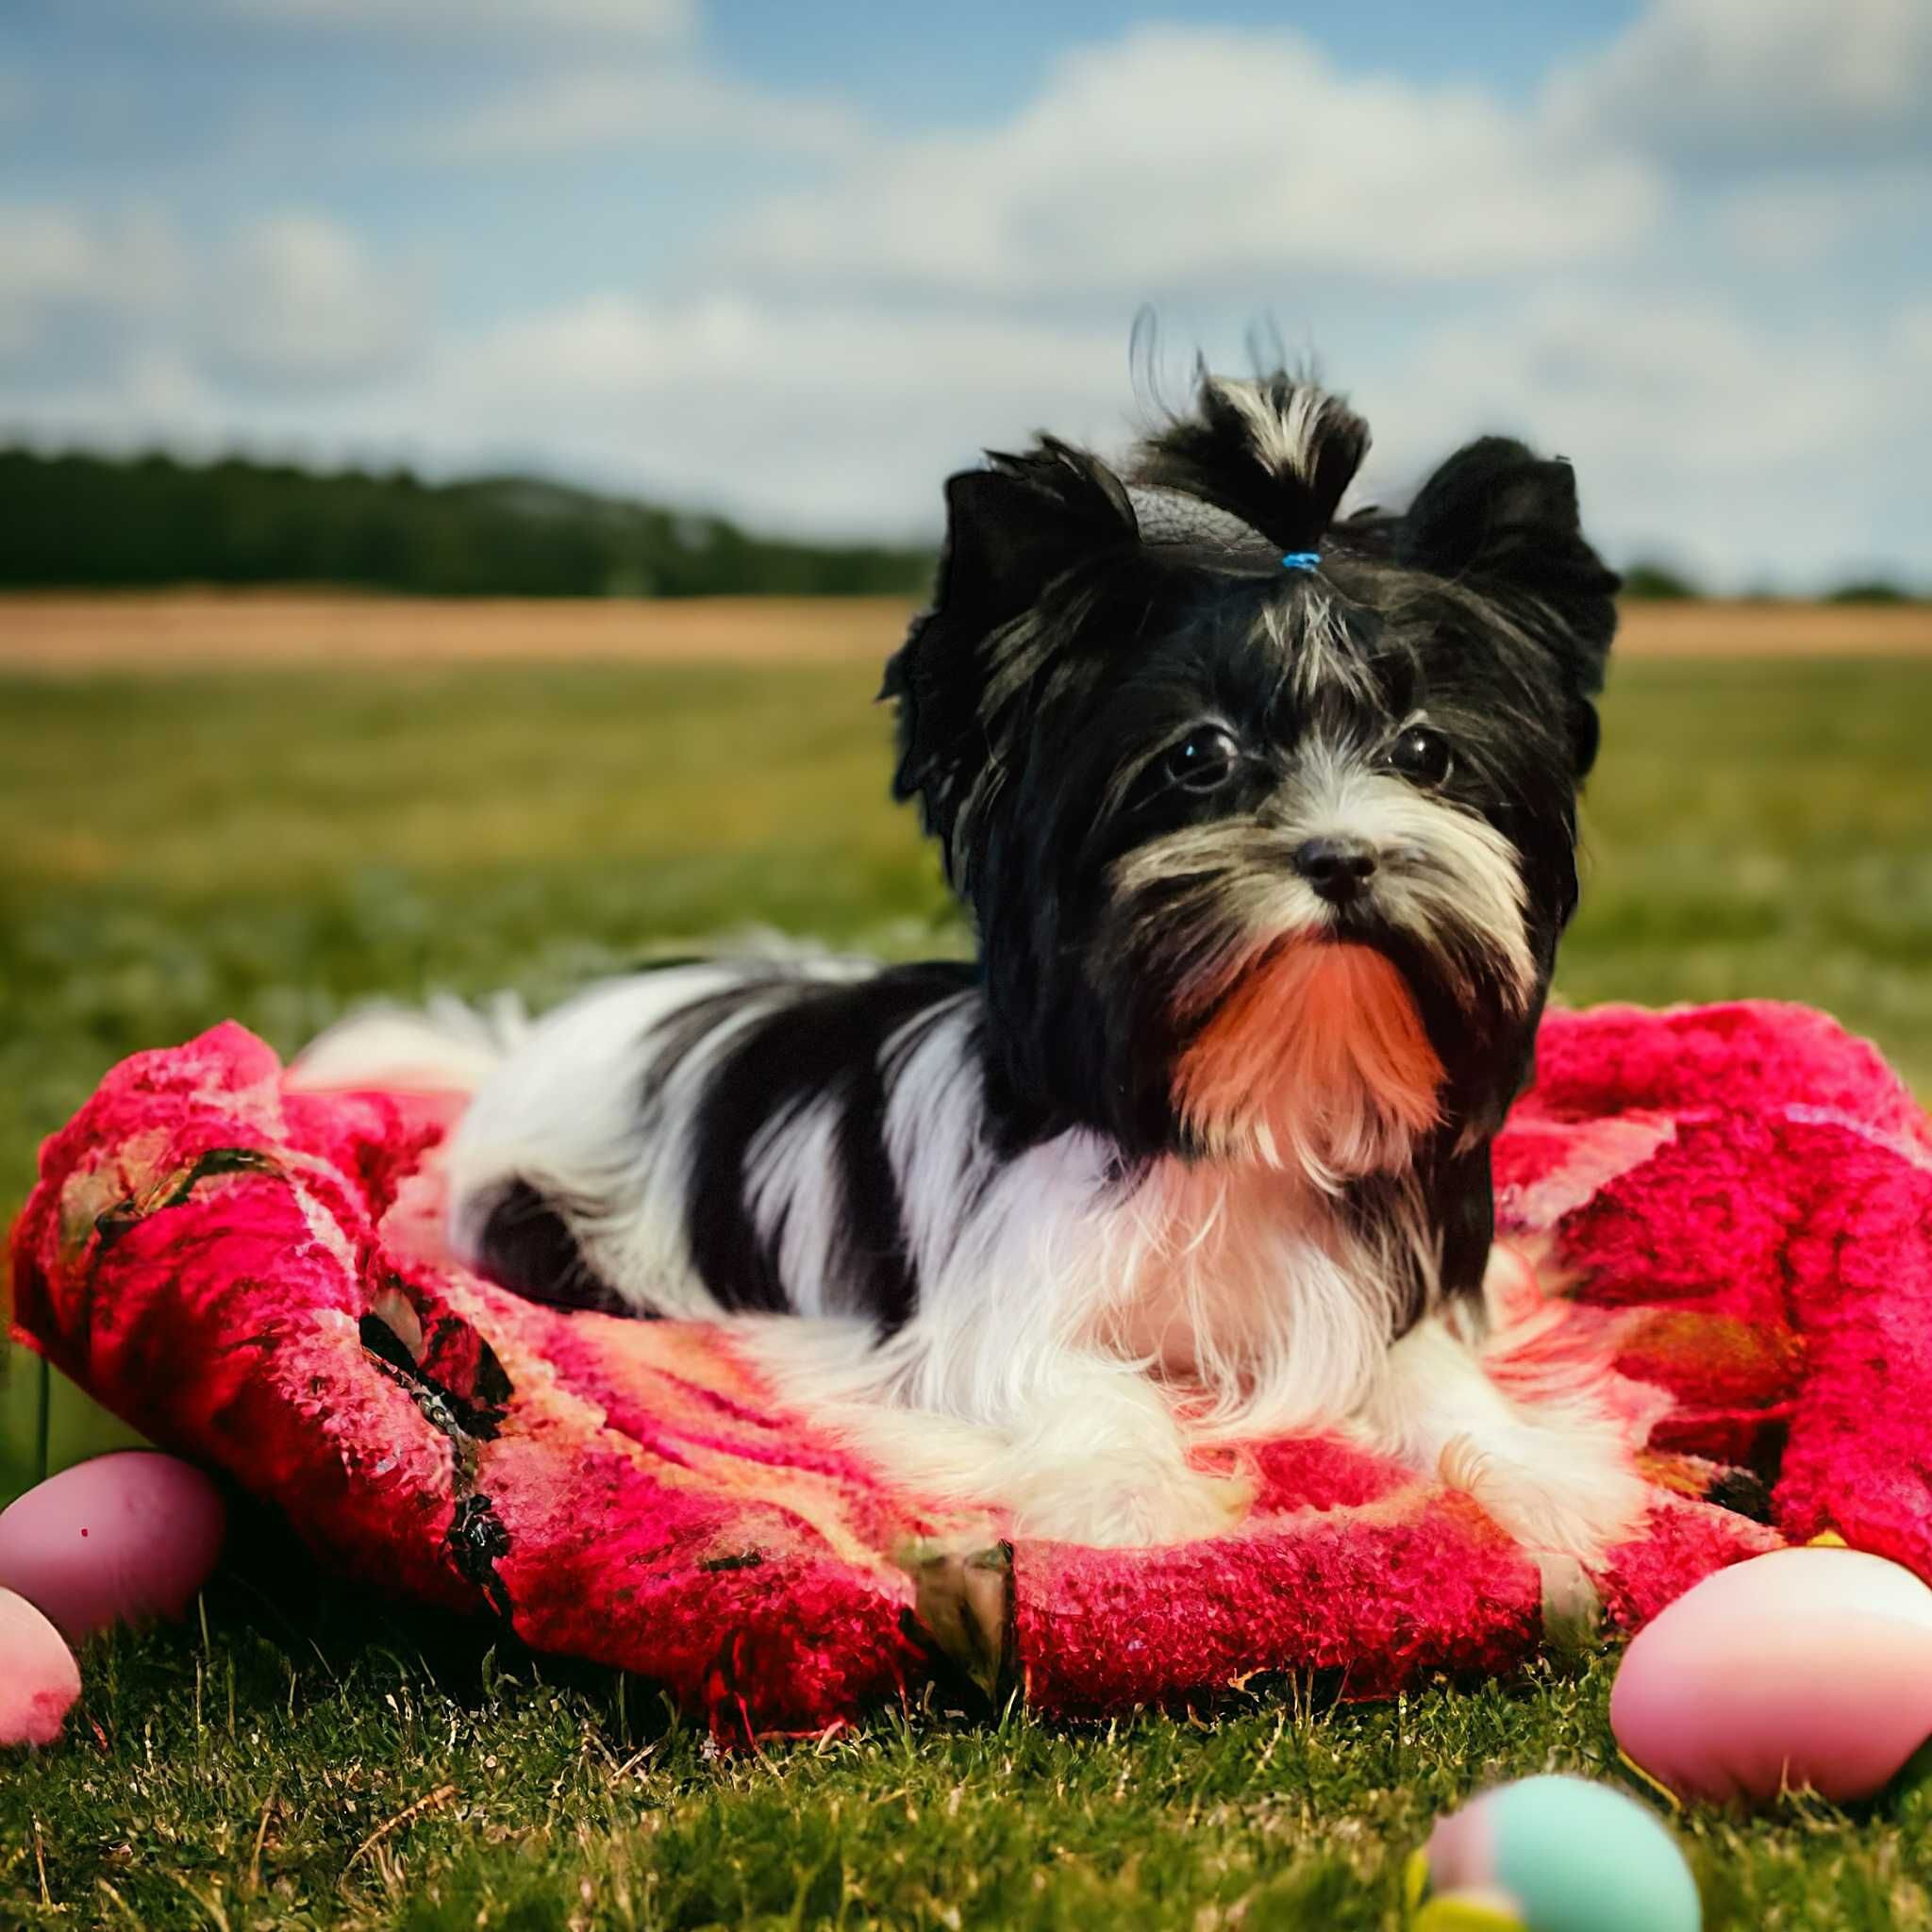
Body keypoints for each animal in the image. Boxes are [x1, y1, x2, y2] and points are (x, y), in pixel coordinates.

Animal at [301, 369, 1645, 1560]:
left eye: (1424, 752)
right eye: (1197, 757)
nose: (1344, 854)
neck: (1238, 1074)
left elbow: (1432, 1378)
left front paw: (1528, 1472)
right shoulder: (986, 1319)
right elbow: (1080, 1384)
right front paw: (1126, 1498)